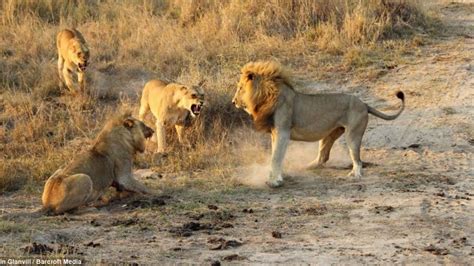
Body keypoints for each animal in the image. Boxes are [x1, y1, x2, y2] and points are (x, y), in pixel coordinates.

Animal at [231, 61, 406, 188]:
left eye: (240, 88)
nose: (233, 102)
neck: (267, 96)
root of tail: (364, 104)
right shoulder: (275, 133)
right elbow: (276, 155)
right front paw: (278, 177)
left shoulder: (283, 132)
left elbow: (276, 157)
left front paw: (274, 182)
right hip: (330, 134)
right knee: (323, 156)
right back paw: (307, 167)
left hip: (353, 134)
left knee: (357, 159)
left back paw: (355, 174)